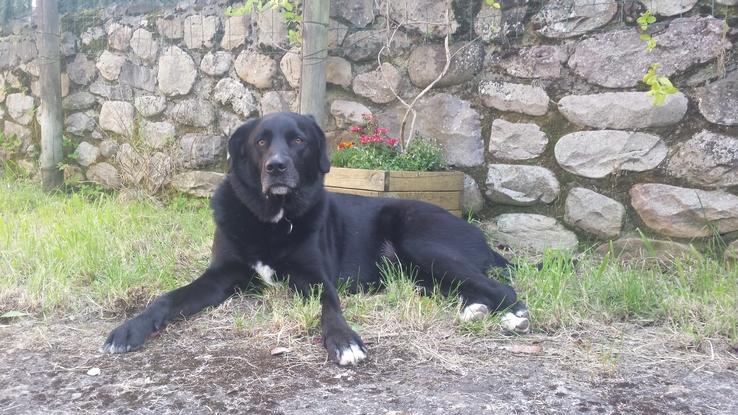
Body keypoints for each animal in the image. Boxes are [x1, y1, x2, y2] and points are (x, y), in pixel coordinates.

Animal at [103, 112, 528, 366]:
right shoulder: (219, 276)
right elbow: (168, 297)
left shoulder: (316, 279)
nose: (276, 168)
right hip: (419, 273)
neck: (273, 218)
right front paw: (130, 328)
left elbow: (330, 309)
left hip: (422, 243)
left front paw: (344, 340)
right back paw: (476, 311)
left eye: (298, 140)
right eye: (260, 142)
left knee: (501, 287)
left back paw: (512, 316)